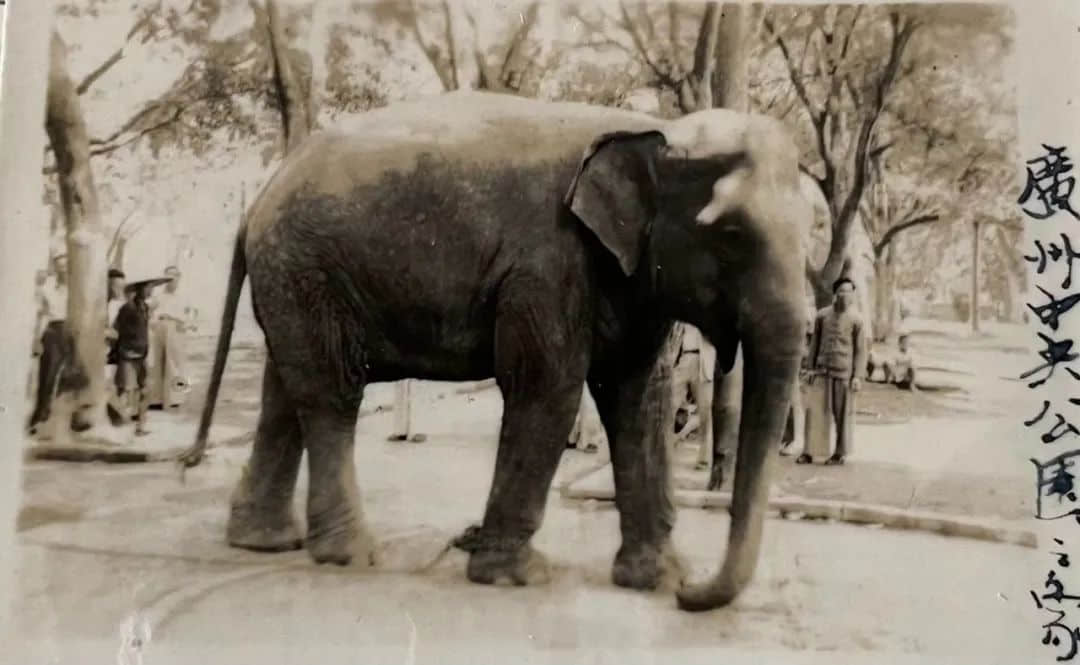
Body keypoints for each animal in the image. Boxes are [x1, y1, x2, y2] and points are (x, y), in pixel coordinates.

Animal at [181, 89, 812, 613]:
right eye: (731, 237)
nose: (691, 594)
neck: (651, 128)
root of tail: (259, 198)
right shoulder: (547, 264)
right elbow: (548, 391)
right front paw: (517, 577)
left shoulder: (630, 282)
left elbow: (638, 402)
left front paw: (654, 580)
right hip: (308, 272)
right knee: (332, 393)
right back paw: (349, 556)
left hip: (296, 281)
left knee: (285, 391)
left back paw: (265, 543)